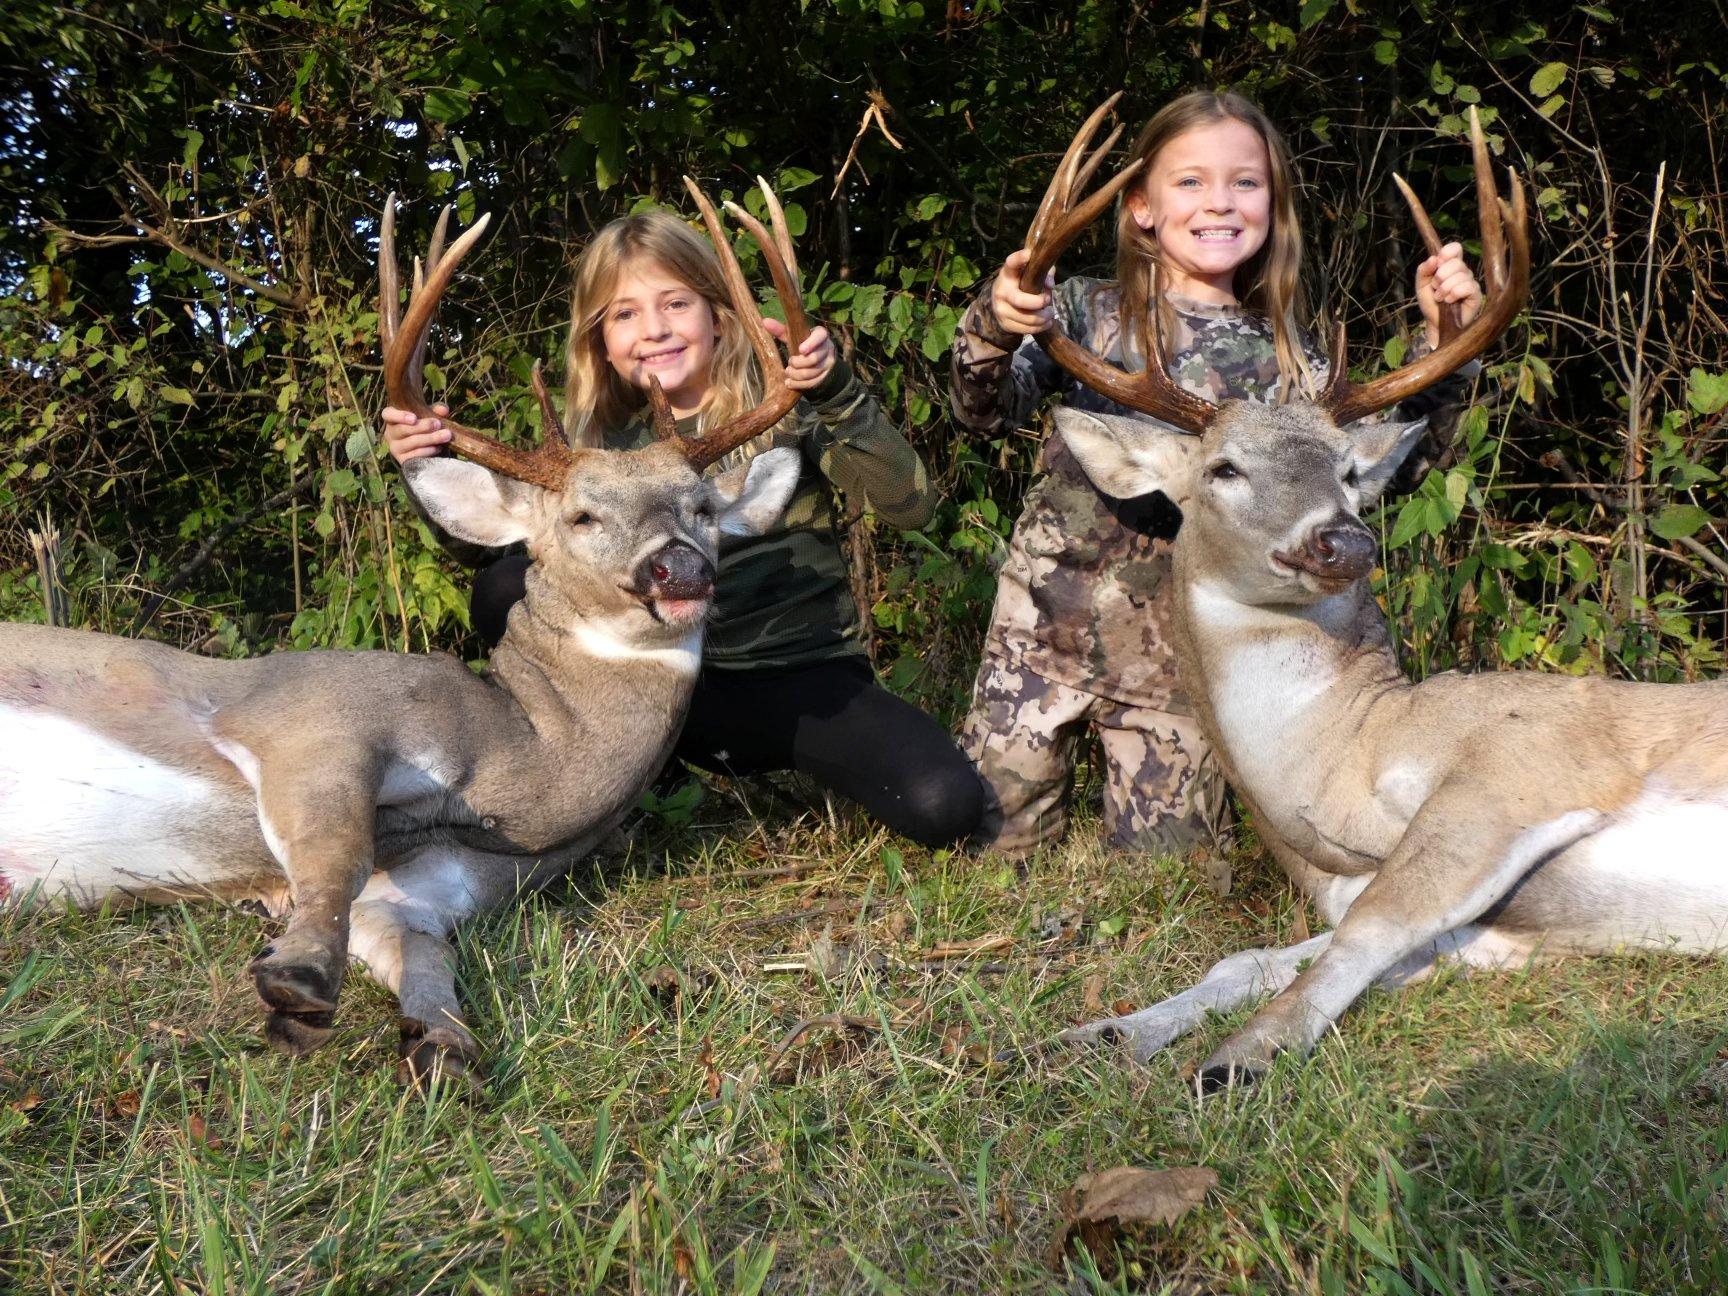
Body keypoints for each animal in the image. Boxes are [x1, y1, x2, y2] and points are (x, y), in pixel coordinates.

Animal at [0, 180, 808, 1085]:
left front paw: (442, 1043)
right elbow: (338, 850)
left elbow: (421, 952)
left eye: (701, 508)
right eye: (582, 515)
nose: (680, 569)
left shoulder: (428, 892)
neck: (507, 765)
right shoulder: (313, 718)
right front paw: (297, 976)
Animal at [1016, 106, 1721, 1092]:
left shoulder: (1516, 771)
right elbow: (1257, 957)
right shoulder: (1490, 931)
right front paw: (1109, 1031)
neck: (1344, 774)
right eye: (1224, 468)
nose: (1342, 539)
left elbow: (1366, 932)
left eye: (1351, 472)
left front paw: (1236, 1059)